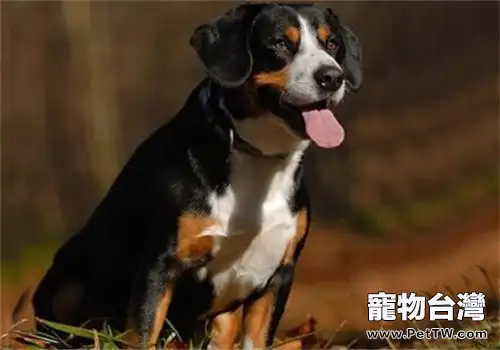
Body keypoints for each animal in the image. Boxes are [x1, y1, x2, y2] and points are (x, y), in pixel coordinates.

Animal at [31, 2, 362, 348]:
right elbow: (144, 334)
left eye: (332, 43)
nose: (332, 77)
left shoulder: (278, 275)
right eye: (280, 42)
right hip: (67, 290)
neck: (257, 160)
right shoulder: (160, 266)